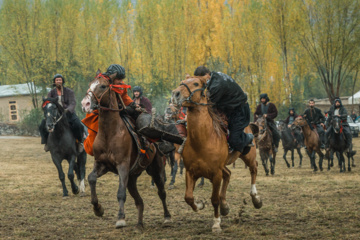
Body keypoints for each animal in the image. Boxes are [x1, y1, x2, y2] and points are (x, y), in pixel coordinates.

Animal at [81, 70, 172, 229]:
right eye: (90, 84)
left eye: (103, 86)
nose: (85, 103)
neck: (109, 133)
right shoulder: (102, 164)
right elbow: (91, 178)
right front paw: (98, 209)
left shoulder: (122, 165)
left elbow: (120, 193)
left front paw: (121, 218)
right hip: (132, 177)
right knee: (139, 201)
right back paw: (139, 224)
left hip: (156, 169)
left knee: (162, 192)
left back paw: (167, 217)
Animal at [172, 74, 262, 232]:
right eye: (181, 82)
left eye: (196, 83)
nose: (175, 94)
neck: (202, 140)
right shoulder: (191, 171)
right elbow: (188, 197)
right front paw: (200, 205)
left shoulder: (216, 174)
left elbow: (214, 199)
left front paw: (216, 223)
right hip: (223, 166)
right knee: (229, 174)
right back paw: (225, 206)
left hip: (247, 156)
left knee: (254, 168)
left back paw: (255, 198)